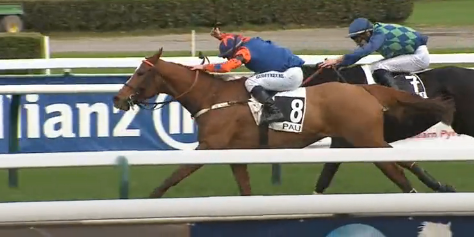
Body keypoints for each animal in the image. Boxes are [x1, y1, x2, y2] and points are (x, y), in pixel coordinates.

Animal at [112, 48, 456, 198]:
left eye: (141, 73)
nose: (118, 98)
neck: (213, 96)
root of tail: (364, 89)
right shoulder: (235, 154)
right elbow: (245, 190)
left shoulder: (209, 147)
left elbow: (170, 179)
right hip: (360, 140)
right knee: (404, 163)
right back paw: (441, 186)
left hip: (366, 140)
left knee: (399, 173)